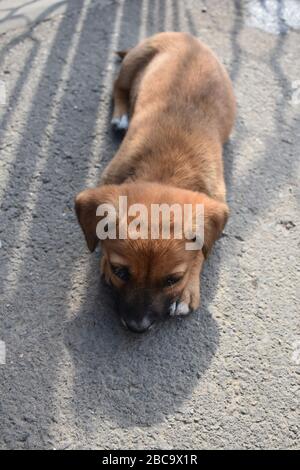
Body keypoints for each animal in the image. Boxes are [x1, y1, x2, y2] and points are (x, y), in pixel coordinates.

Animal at [74, 33, 234, 332]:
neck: (166, 171)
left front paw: (187, 290)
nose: (138, 327)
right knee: (118, 87)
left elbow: (202, 250)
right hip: (132, 65)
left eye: (173, 280)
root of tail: (186, 37)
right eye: (120, 272)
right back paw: (121, 116)